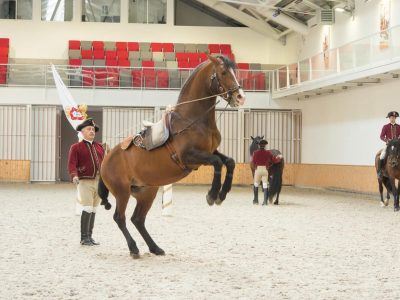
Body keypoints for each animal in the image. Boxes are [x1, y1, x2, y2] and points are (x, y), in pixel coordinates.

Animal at [98, 55, 245, 256]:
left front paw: (222, 194)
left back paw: (155, 247)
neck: (192, 120)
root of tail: (105, 158)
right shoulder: (189, 157)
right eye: (223, 72)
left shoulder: (209, 152)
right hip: (122, 192)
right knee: (120, 218)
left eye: (235, 71)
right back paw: (134, 248)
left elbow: (229, 162)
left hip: (146, 192)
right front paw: (212, 195)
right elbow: (217, 163)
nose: (240, 97)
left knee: (137, 219)